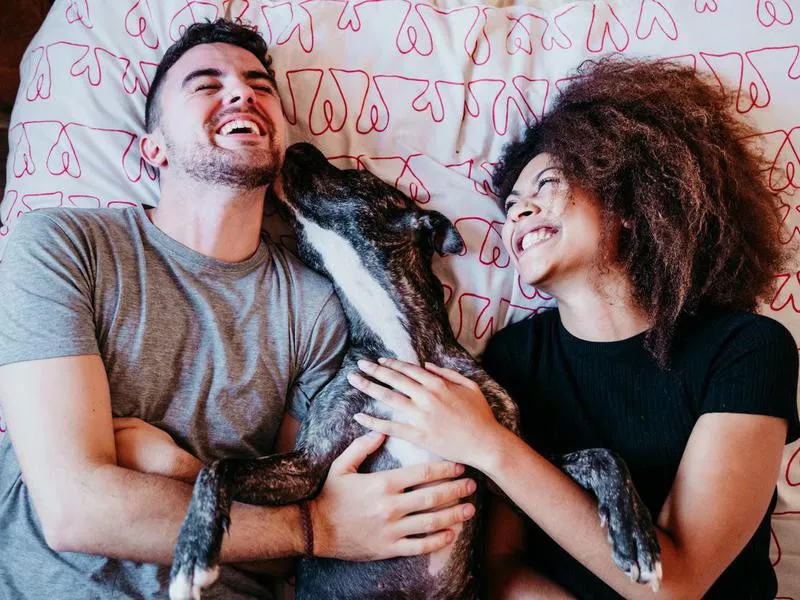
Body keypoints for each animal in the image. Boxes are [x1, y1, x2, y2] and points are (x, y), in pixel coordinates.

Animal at [169, 143, 664, 596]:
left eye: (356, 173)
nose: (296, 145)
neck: (401, 345)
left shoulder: (506, 465)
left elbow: (601, 454)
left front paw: (634, 534)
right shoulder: (309, 467)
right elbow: (218, 467)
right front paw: (193, 551)